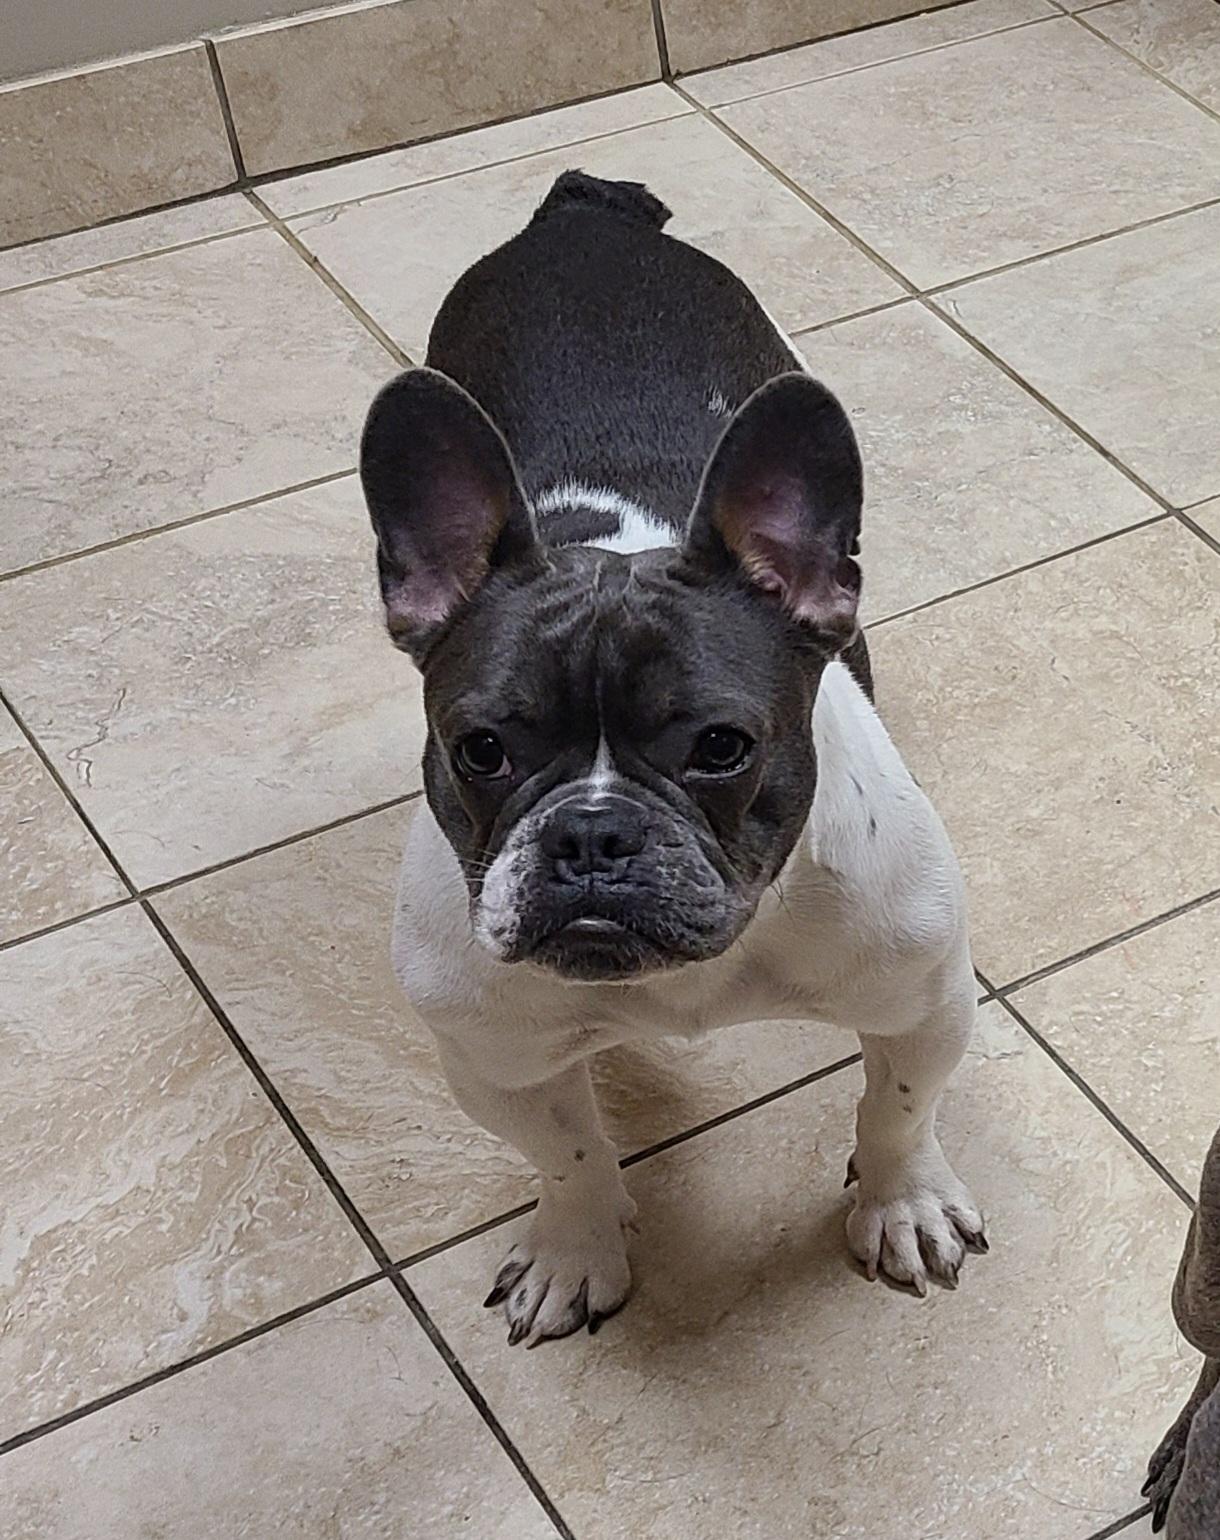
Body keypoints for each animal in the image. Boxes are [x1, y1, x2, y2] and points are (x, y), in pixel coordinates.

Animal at [360, 171, 986, 1347]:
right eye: (480, 749)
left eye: (719, 747)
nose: (592, 833)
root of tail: (579, 213)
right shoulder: (496, 1061)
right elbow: (564, 1152)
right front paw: (576, 1245)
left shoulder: (920, 1002)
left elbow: (896, 1108)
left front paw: (901, 1202)